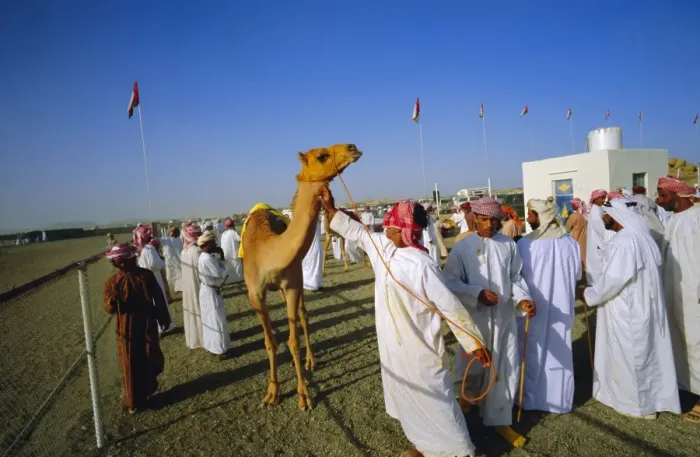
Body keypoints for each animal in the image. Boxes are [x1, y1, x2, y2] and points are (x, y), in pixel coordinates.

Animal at [241, 144, 362, 410]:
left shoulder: (293, 285)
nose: (353, 147)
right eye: (322, 156)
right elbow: (270, 342)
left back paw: (311, 360)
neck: (268, 253)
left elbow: (293, 341)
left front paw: (304, 395)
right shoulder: (255, 294)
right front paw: (272, 393)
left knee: (304, 317)